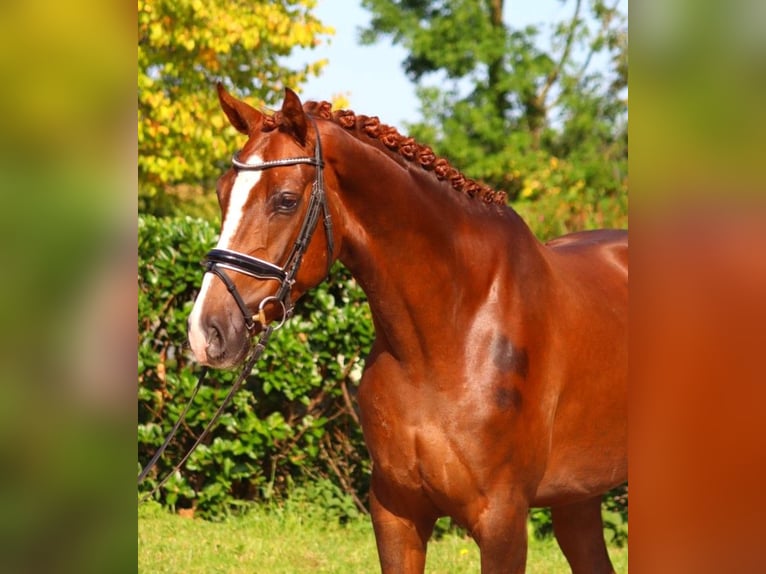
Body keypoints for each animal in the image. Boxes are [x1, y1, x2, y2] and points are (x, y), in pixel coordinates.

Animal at [189, 85, 628, 574]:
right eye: (222, 193)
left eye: (284, 199)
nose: (206, 331)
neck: (449, 333)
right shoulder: (396, 511)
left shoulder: (504, 522)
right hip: (578, 498)